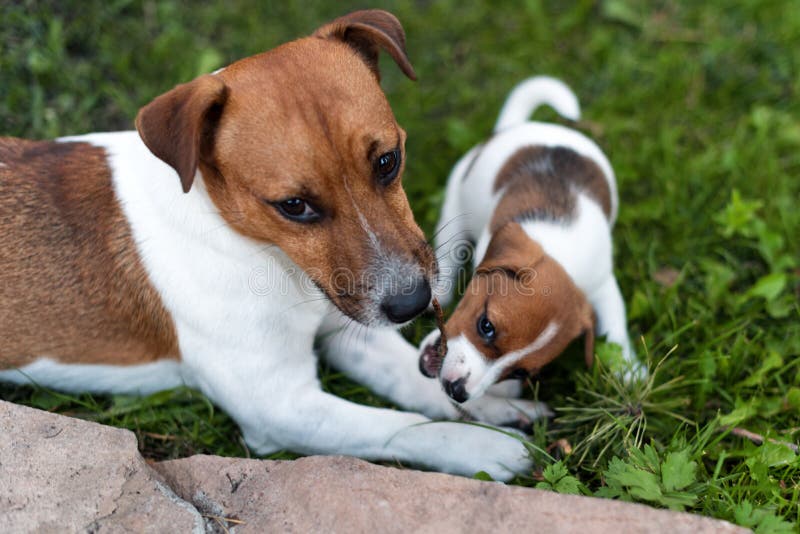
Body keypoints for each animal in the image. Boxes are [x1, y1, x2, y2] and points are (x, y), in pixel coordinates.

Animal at [0, 9, 544, 482]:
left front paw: (483, 398)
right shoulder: (281, 407)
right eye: (294, 206)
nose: (411, 303)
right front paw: (482, 446)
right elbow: (402, 426)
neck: (265, 255)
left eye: (388, 161)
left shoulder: (347, 327)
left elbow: (414, 379)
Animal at [418, 74, 636, 402]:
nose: (458, 392)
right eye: (486, 326)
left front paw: (629, 368)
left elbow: (616, 321)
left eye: (520, 372)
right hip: (456, 199)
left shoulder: (602, 283)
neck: (562, 252)